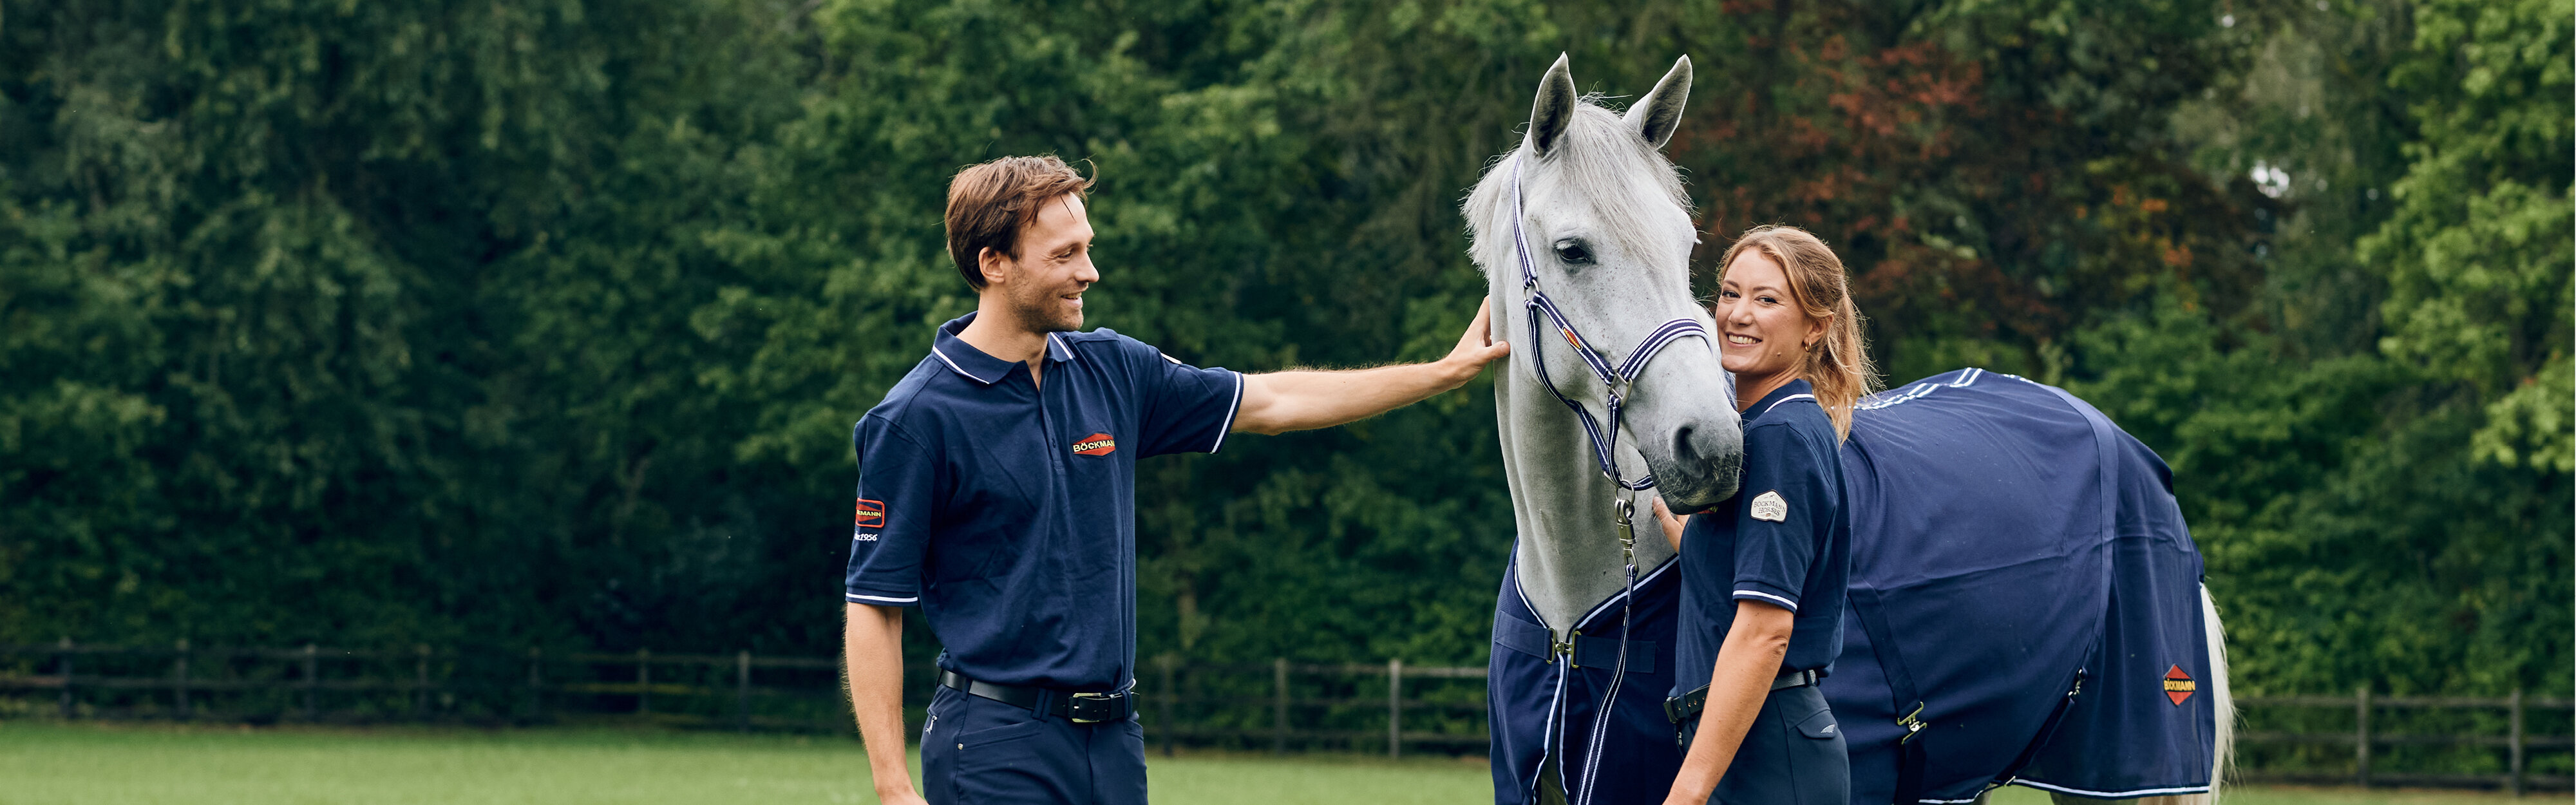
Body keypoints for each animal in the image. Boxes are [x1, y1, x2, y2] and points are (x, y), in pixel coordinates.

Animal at [1465, 55, 2233, 805]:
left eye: (1685, 244)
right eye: (1572, 250)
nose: (1711, 447)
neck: (1573, 621)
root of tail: (2128, 449)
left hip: (2126, 776)